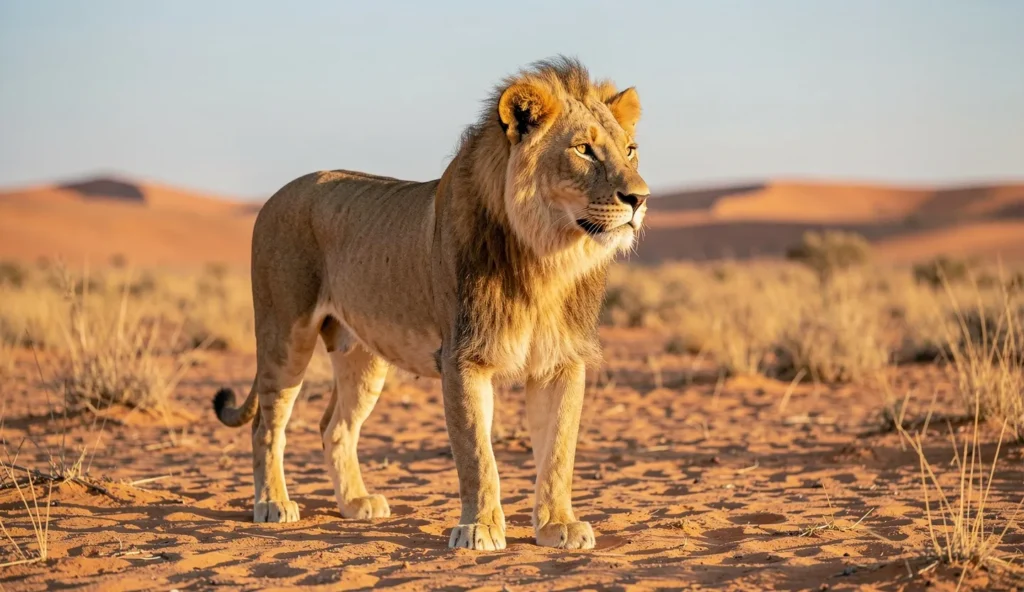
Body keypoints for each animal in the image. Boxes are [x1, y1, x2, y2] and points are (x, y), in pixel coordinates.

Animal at [213, 56, 649, 550]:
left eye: (630, 150)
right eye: (583, 150)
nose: (640, 198)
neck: (547, 258)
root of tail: (275, 195)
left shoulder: (560, 362)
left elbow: (558, 453)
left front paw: (558, 526)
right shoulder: (463, 358)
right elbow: (477, 455)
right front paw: (479, 529)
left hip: (362, 354)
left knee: (334, 427)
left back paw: (356, 504)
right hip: (285, 333)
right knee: (267, 425)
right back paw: (273, 504)